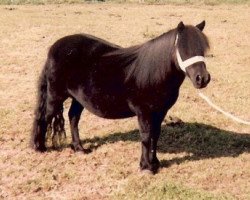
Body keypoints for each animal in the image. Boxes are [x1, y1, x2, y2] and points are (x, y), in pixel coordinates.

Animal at [31, 20, 211, 173]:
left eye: (202, 49)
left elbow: (155, 136)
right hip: (55, 96)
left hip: (78, 98)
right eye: (183, 49)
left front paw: (155, 163)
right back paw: (39, 147)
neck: (154, 73)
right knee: (45, 117)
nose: (202, 79)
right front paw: (146, 167)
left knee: (73, 117)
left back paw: (79, 148)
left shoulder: (160, 112)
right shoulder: (144, 113)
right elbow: (146, 137)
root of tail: (55, 47)